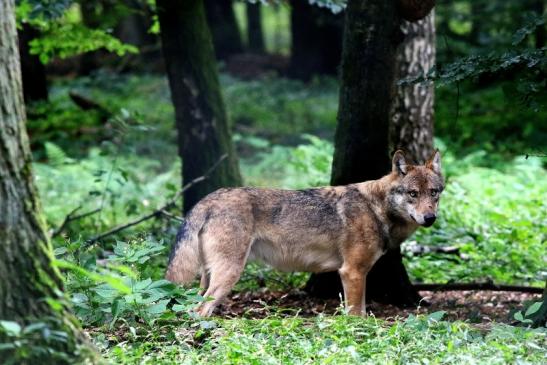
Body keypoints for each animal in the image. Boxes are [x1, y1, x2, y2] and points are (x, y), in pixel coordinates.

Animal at [166, 150, 446, 316]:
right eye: (413, 194)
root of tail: (208, 199)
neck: (375, 207)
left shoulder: (357, 274)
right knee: (201, 309)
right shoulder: (351, 272)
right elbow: (356, 315)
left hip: (208, 276)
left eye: (434, 193)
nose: (430, 218)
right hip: (229, 274)